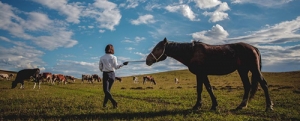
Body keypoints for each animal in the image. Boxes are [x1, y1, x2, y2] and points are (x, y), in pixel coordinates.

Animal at [146, 37, 274, 111]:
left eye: (157, 48)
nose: (147, 60)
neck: (192, 52)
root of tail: (254, 48)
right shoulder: (202, 74)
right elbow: (205, 88)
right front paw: (210, 105)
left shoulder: (200, 74)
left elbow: (203, 89)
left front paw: (200, 106)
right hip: (243, 70)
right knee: (247, 86)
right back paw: (241, 105)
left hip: (254, 69)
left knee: (263, 84)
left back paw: (269, 106)